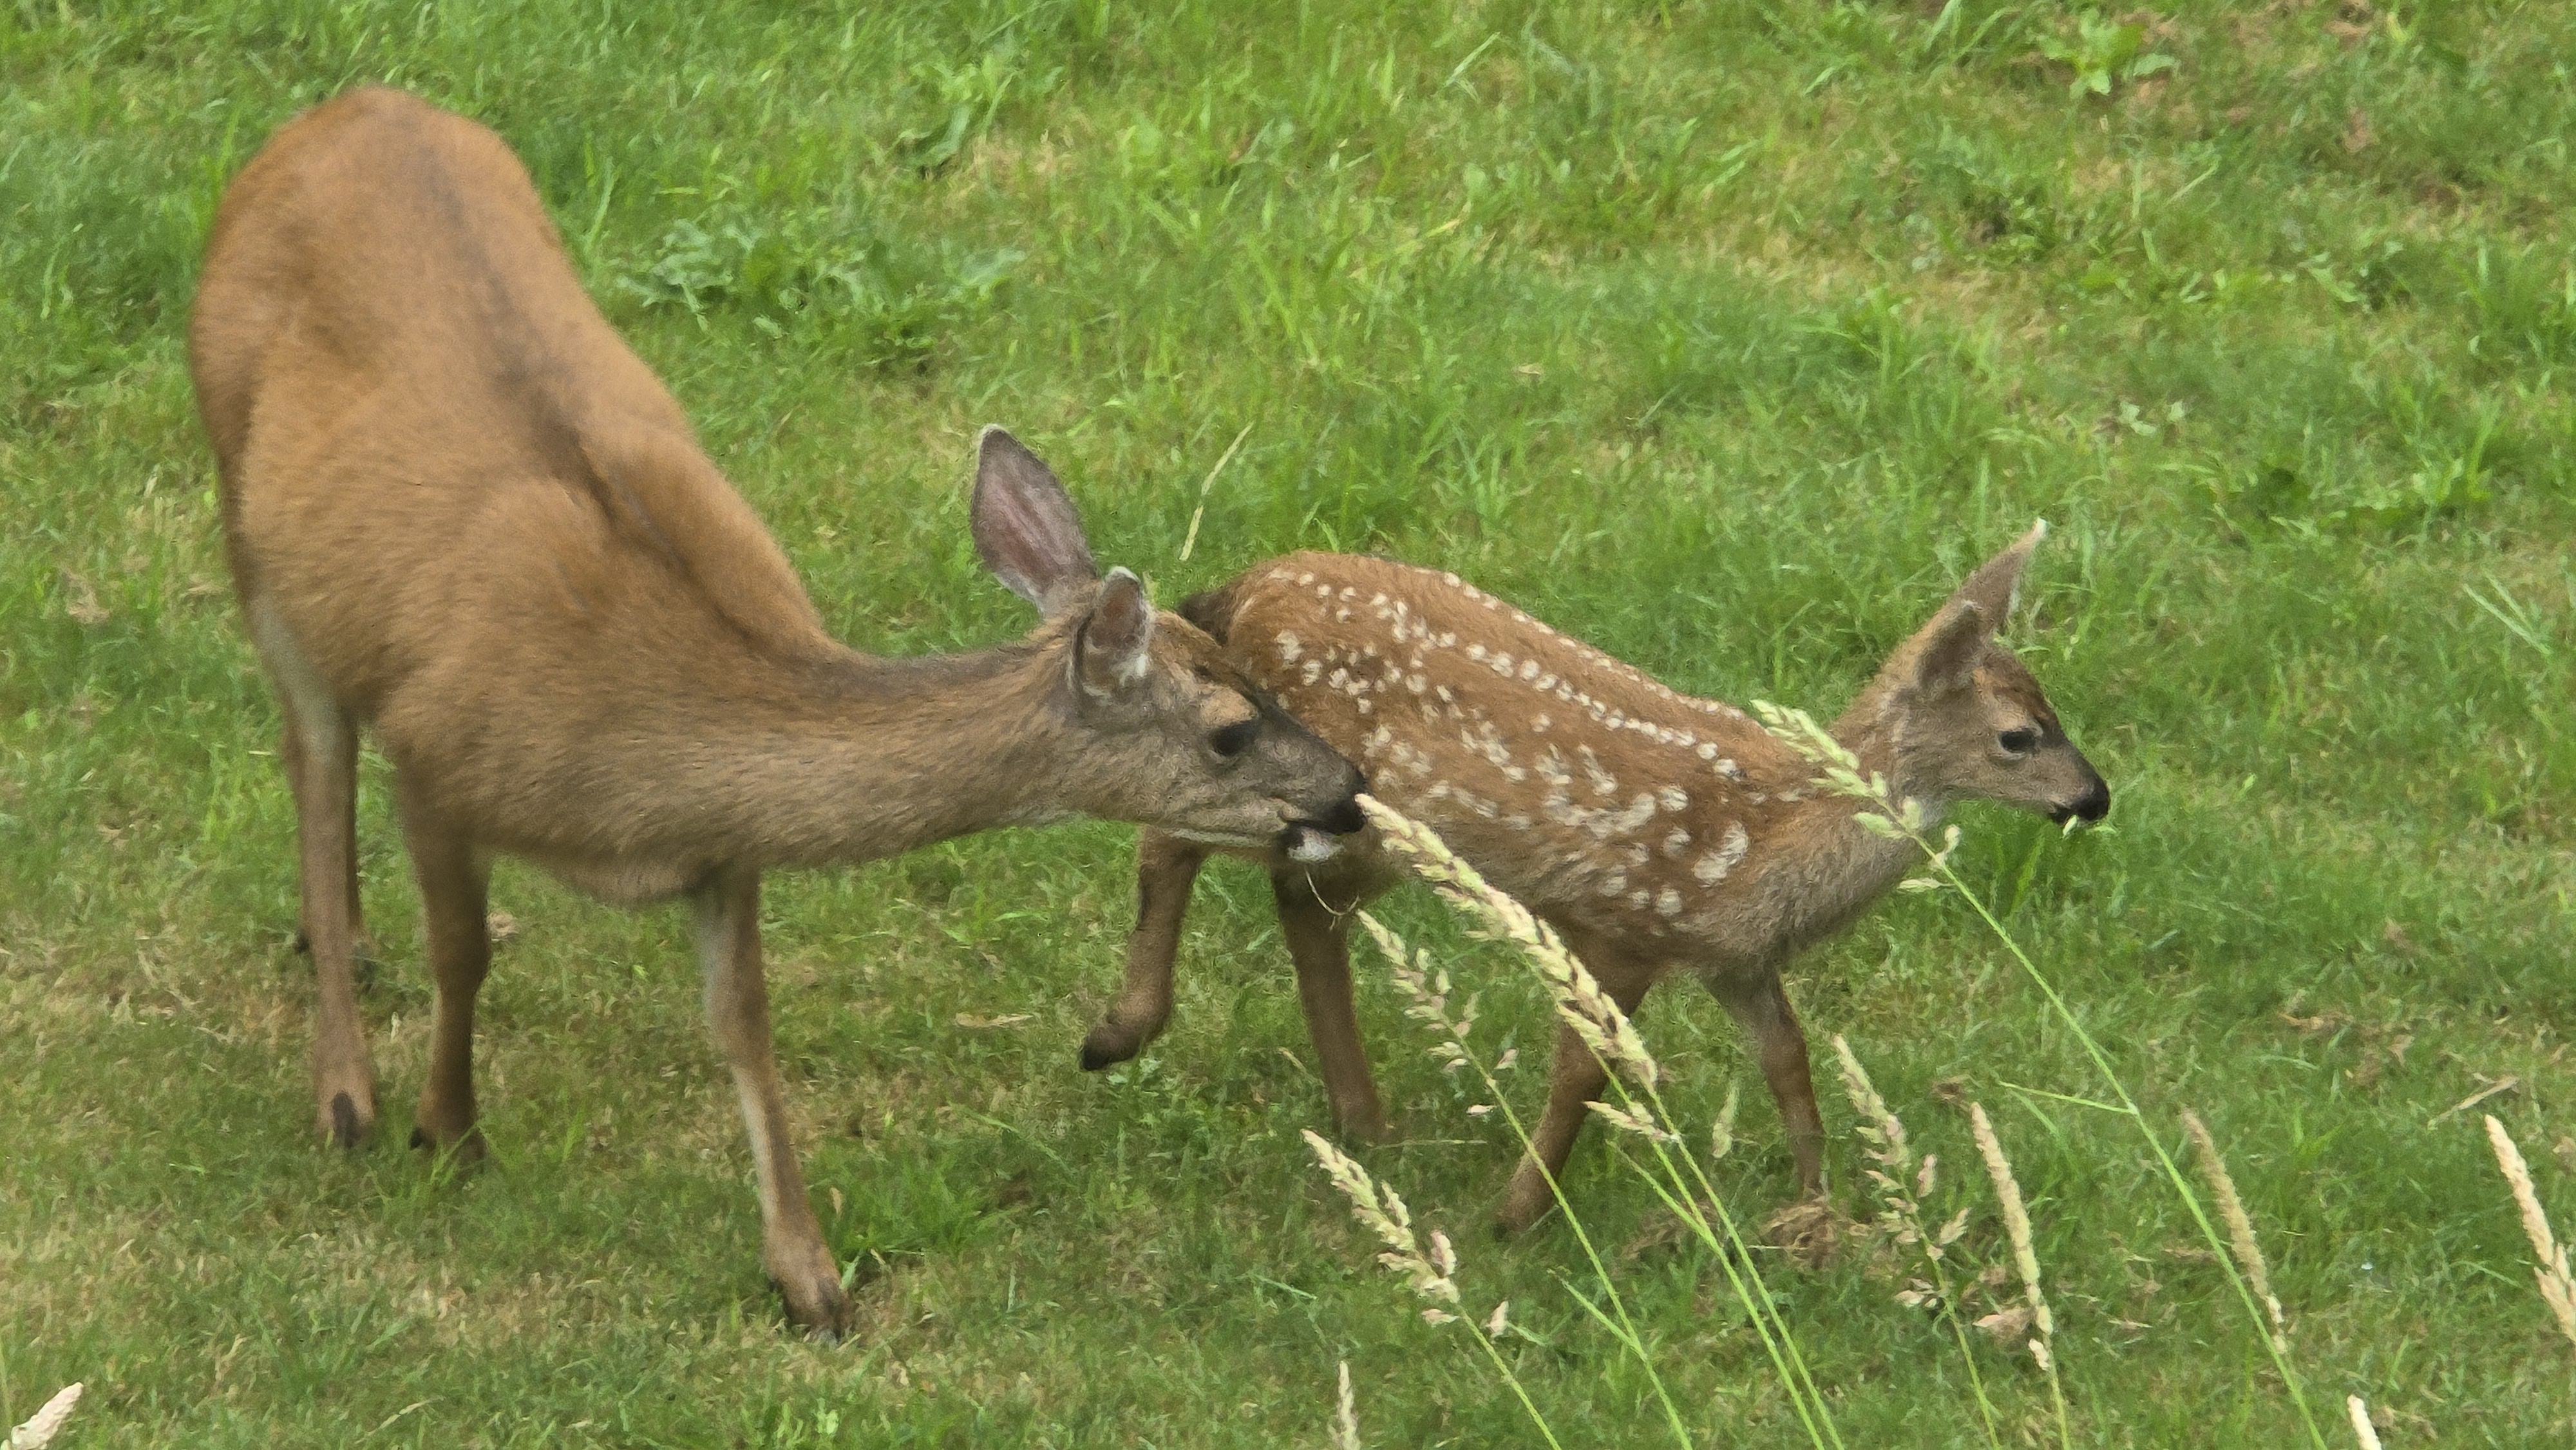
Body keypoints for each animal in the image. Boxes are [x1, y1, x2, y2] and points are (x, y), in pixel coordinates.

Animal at [187, 86, 1366, 1339]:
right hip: (246, 511)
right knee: (312, 756)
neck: (652, 742)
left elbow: (743, 1023)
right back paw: (344, 1087)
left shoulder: (724, 848)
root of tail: (353, 103)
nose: (1350, 790)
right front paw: (447, 1131)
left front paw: (809, 1273)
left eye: (1255, 670)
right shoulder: (438, 757)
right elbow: (462, 955)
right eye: (1231, 729)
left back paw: (345, 953)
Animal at [1079, 528, 2109, 1232]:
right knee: (1167, 838)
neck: (1768, 842)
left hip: (1365, 837)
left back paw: (1363, 1122)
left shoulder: (1734, 959)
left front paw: (1816, 1210)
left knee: (1302, 908)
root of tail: (1248, 586)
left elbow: (1789, 1058)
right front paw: (1517, 1215)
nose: (2094, 797)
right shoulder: (1622, 921)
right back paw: (1117, 1034)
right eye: (2019, 737)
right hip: (1316, 792)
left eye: (2057, 712)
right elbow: (1585, 1068)